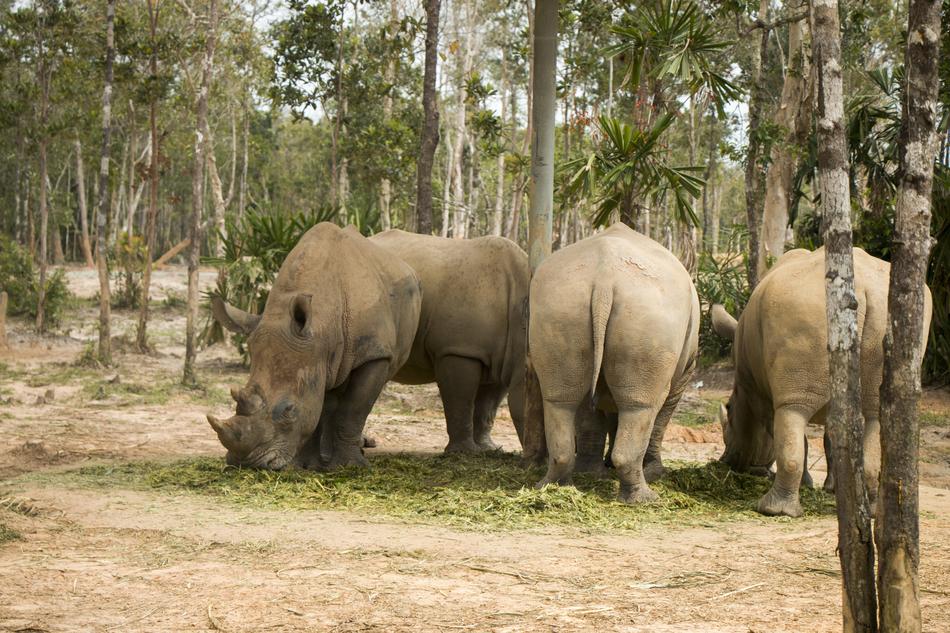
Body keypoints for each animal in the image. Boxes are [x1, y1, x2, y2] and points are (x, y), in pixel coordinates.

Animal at [207, 223, 422, 470]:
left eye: (289, 410)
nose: (247, 463)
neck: (322, 328)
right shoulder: (313, 352)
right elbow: (317, 405)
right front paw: (305, 466)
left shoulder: (375, 352)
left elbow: (354, 408)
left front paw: (350, 466)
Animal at [369, 230, 529, 453]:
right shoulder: (459, 350)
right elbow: (460, 400)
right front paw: (465, 452)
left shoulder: (502, 359)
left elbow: (488, 408)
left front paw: (489, 449)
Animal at [529, 223, 700, 504]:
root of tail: (604, 279)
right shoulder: (685, 373)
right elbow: (660, 419)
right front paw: (654, 472)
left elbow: (596, 413)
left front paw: (597, 470)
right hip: (648, 307)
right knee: (641, 407)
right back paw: (645, 498)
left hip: (560, 302)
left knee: (562, 400)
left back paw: (555, 485)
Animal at [711, 247, 933, 517]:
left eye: (729, 412)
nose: (727, 461)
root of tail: (868, 289)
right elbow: (832, 437)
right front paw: (833, 489)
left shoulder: (762, 392)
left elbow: (786, 434)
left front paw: (808, 484)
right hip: (876, 313)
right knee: (875, 415)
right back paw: (870, 510)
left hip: (802, 308)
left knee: (793, 412)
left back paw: (774, 510)